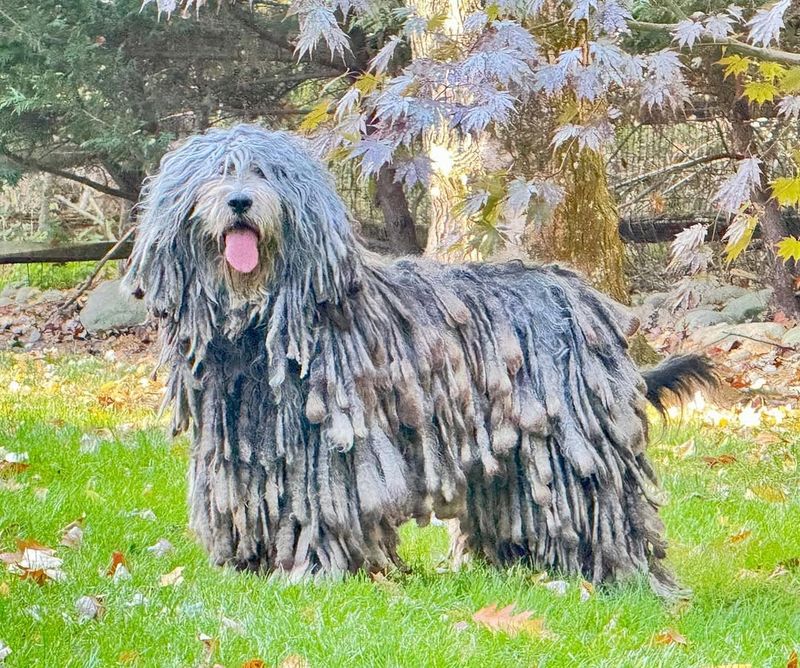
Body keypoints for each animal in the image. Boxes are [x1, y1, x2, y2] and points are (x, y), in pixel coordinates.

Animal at [123, 125, 712, 596]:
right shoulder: (245, 447)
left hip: (575, 443)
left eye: (266, 173)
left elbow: (322, 509)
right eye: (217, 174)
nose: (241, 201)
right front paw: (256, 566)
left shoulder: (330, 449)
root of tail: (589, 300)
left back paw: (621, 577)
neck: (259, 329)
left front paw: (315, 569)